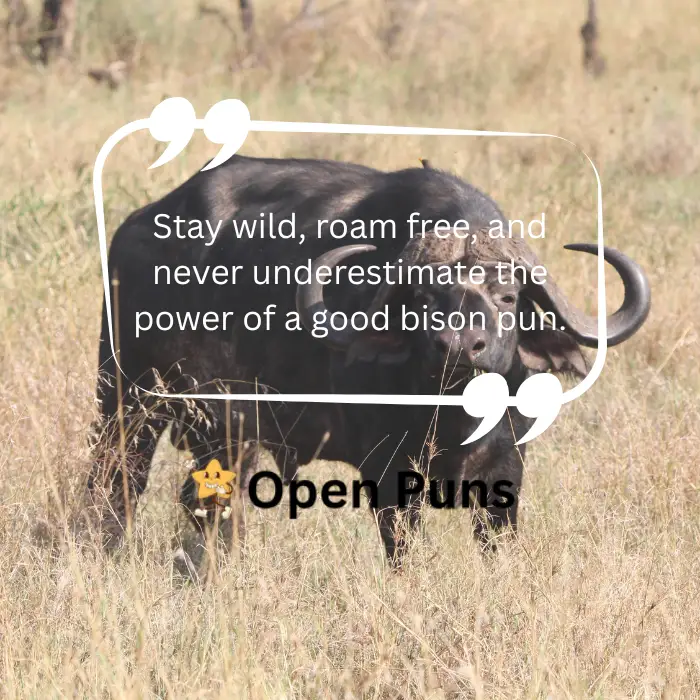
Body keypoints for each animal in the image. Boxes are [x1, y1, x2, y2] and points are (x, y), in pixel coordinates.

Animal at [87, 155, 651, 566]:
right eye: (421, 300)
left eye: (508, 297)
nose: (457, 347)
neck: (452, 417)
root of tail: (137, 228)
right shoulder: (389, 470)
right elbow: (405, 548)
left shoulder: (507, 467)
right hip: (133, 399)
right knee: (123, 482)